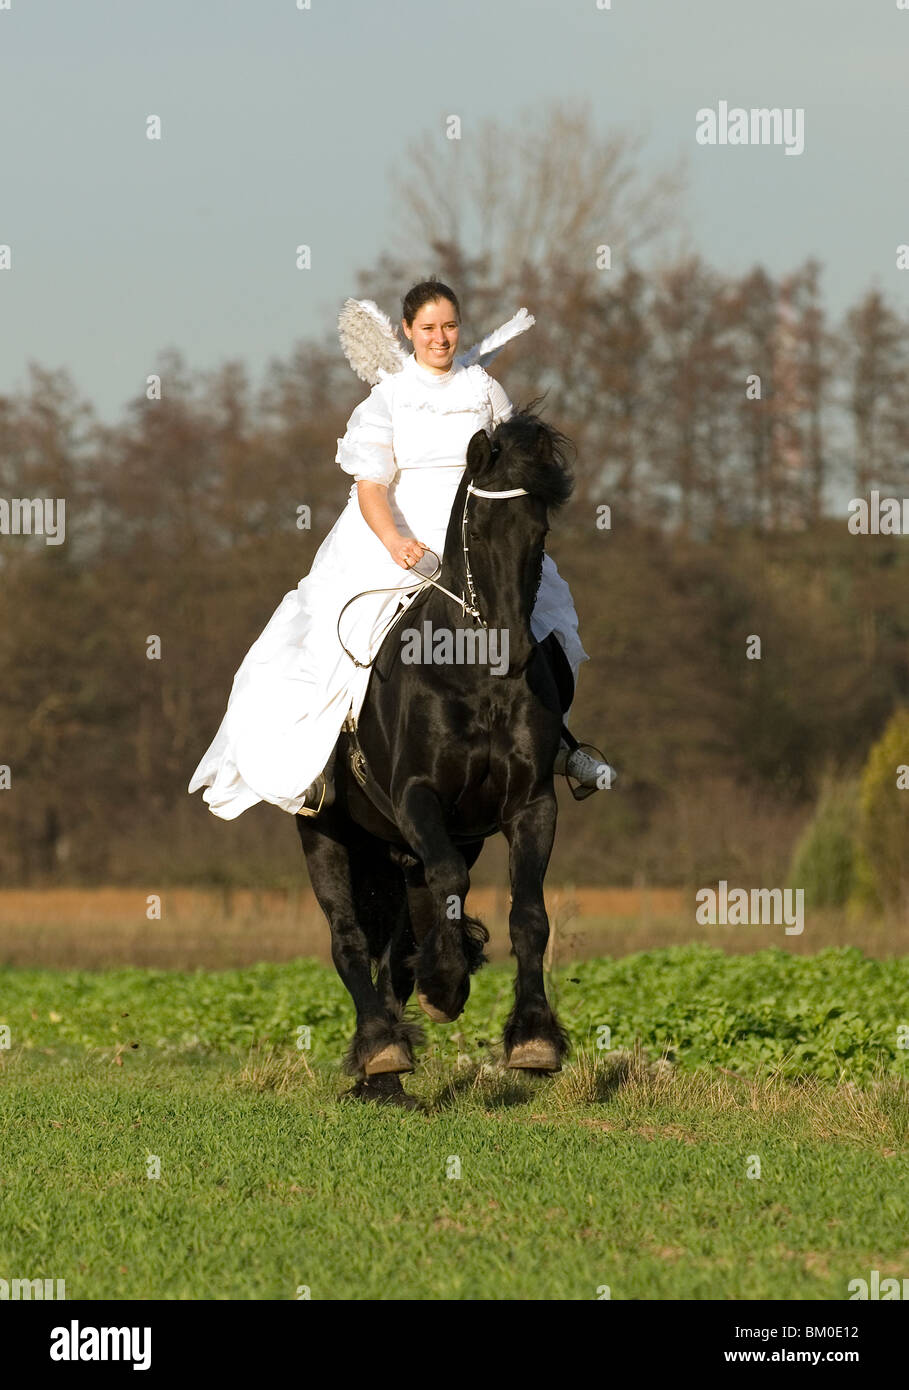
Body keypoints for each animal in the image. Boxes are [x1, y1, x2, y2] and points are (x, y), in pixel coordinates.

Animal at [296, 405, 575, 1104]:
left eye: (540, 530)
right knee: (348, 937)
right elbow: (449, 882)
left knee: (398, 942)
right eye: (476, 527)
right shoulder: (417, 795)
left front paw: (533, 1039)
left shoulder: (530, 804)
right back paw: (381, 1049)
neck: (474, 676)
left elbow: (529, 914)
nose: (512, 650)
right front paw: (447, 986)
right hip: (325, 831)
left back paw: (389, 1071)